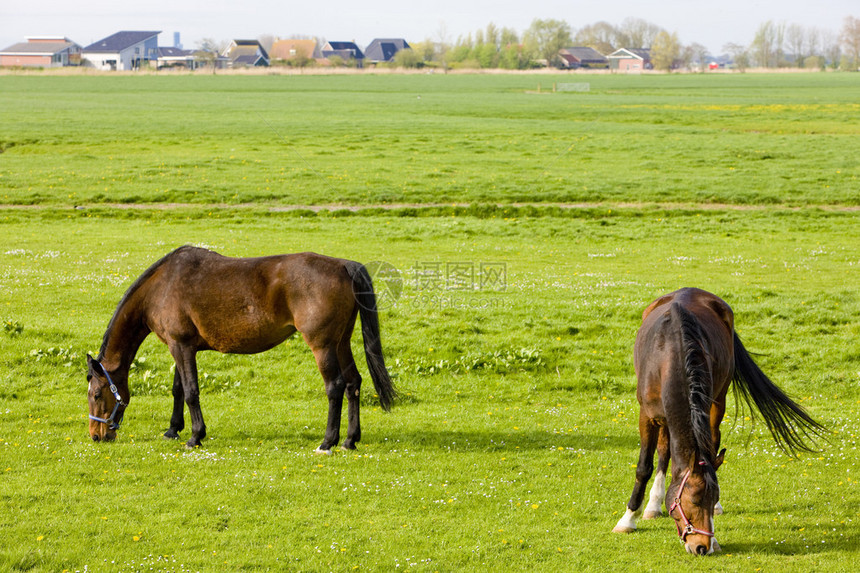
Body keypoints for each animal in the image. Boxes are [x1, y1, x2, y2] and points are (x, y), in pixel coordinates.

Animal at [87, 246, 396, 452]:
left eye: (96, 394)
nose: (96, 435)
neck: (161, 287)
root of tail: (344, 265)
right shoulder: (182, 347)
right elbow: (178, 390)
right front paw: (173, 429)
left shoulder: (181, 347)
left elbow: (191, 391)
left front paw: (195, 436)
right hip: (341, 342)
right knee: (353, 383)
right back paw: (349, 440)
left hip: (323, 345)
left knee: (335, 386)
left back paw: (328, 442)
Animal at [612, 290, 828, 556]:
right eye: (694, 500)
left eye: (713, 498)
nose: (702, 546)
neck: (670, 355)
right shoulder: (647, 415)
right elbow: (644, 467)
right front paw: (628, 518)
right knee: (663, 450)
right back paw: (653, 505)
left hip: (719, 399)